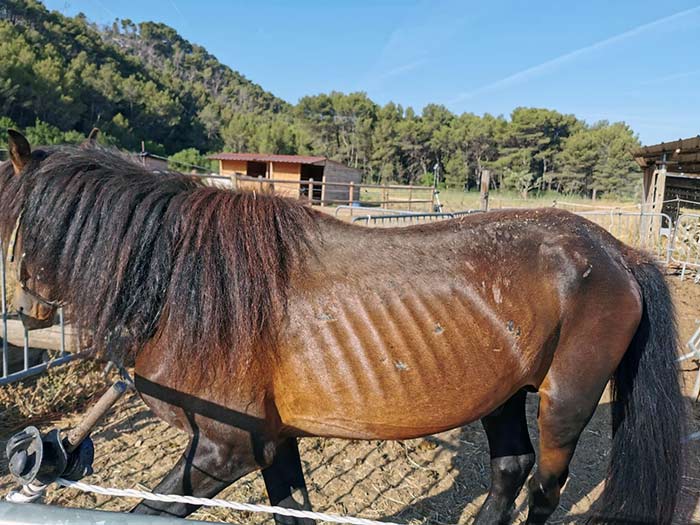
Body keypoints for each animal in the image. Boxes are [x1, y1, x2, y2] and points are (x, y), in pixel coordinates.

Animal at [0, 129, 688, 520]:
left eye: (5, 217)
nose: (23, 313)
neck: (192, 288)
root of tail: (616, 253)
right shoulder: (271, 442)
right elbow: (293, 510)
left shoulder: (225, 449)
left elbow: (157, 506)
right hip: (500, 394)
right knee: (509, 473)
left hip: (564, 402)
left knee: (544, 490)